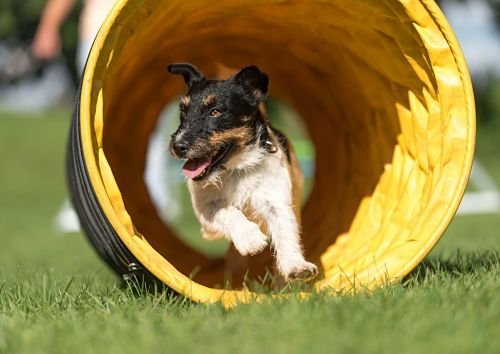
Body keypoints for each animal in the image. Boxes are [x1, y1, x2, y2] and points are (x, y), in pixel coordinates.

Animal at [167, 62, 316, 280]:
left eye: (215, 112)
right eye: (183, 112)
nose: (178, 146)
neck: (235, 168)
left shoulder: (275, 200)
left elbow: (284, 230)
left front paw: (296, 265)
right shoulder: (205, 208)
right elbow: (226, 210)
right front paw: (251, 239)